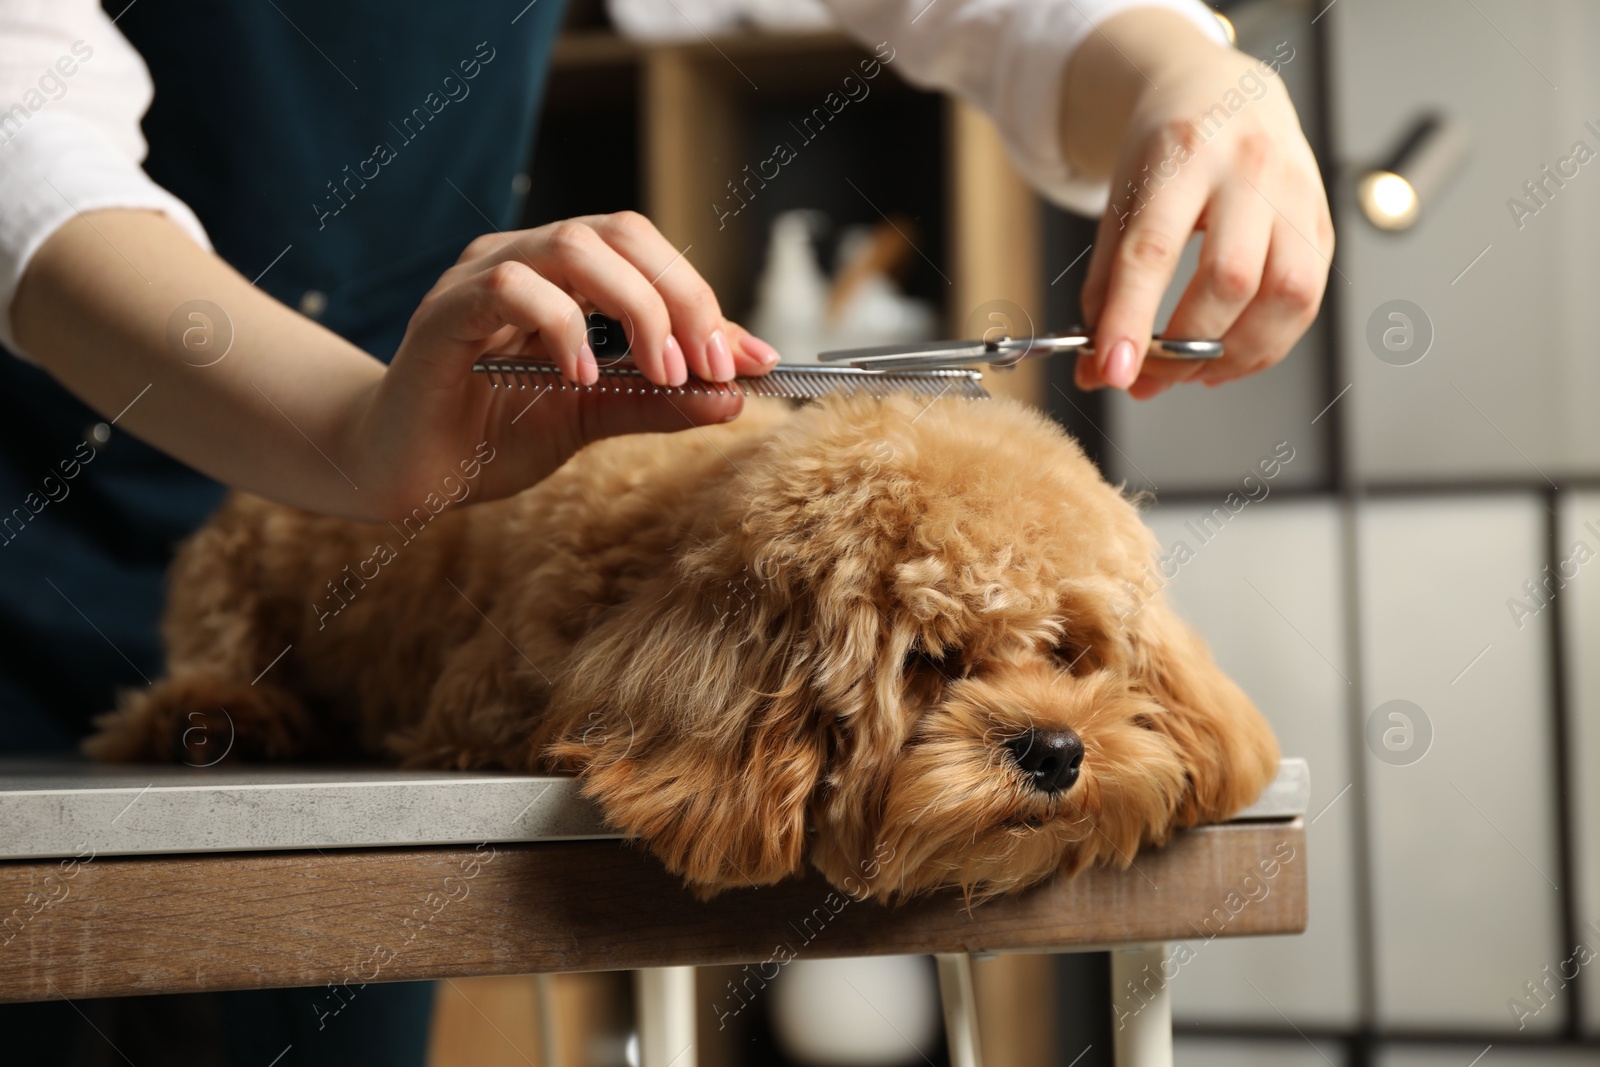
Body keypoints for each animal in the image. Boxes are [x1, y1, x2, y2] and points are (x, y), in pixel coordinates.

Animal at [93, 396, 1280, 895]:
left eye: (1070, 650)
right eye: (930, 660)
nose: (1055, 750)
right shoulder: (482, 698)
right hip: (226, 587)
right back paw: (216, 716)